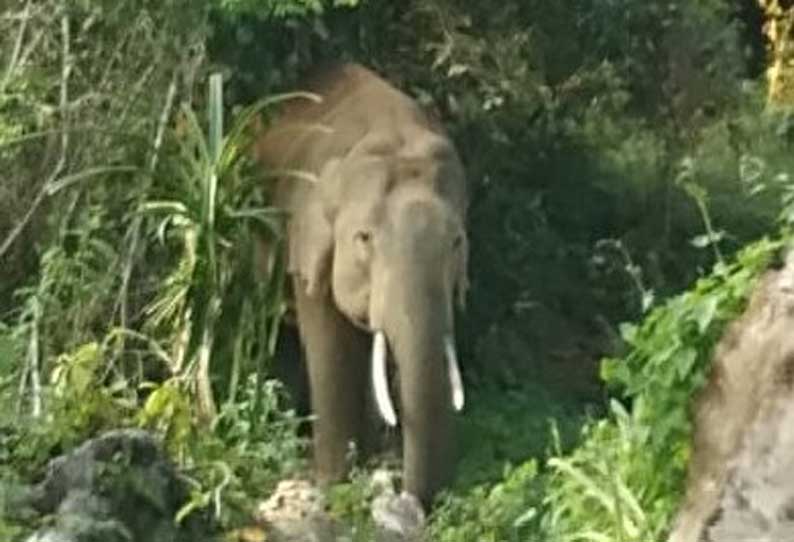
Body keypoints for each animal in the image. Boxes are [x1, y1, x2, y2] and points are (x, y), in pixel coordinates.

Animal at [251, 63, 468, 510]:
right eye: (364, 238)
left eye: (457, 242)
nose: (414, 502)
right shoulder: (308, 243)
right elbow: (332, 349)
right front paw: (332, 484)